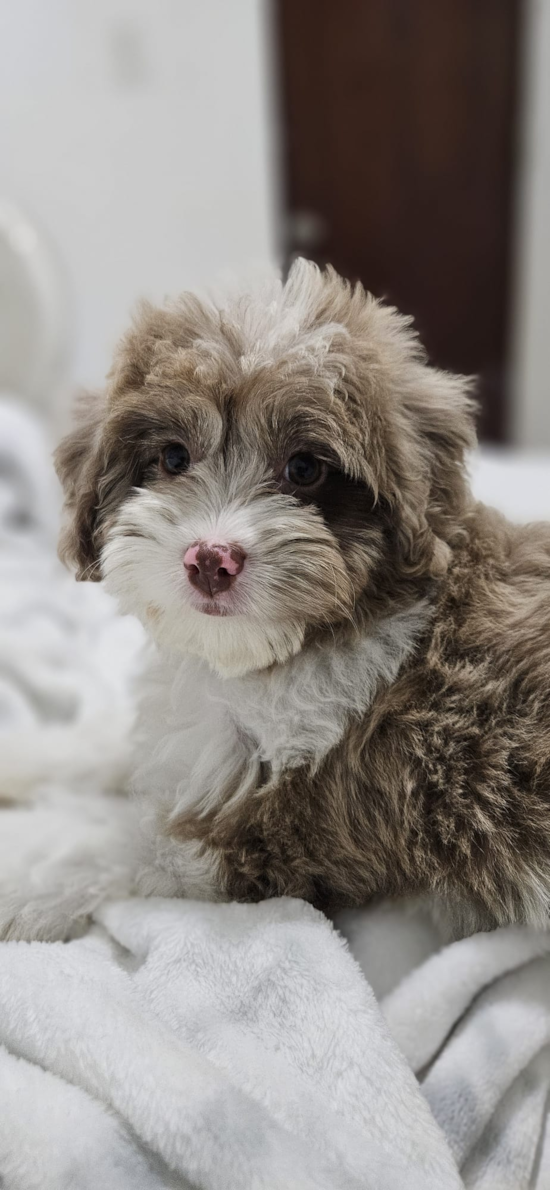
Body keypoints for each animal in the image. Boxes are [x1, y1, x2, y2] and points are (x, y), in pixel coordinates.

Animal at [54, 262, 550, 937]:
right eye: (174, 457)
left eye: (306, 469)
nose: (210, 560)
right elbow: (116, 749)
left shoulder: (288, 829)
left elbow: (118, 848)